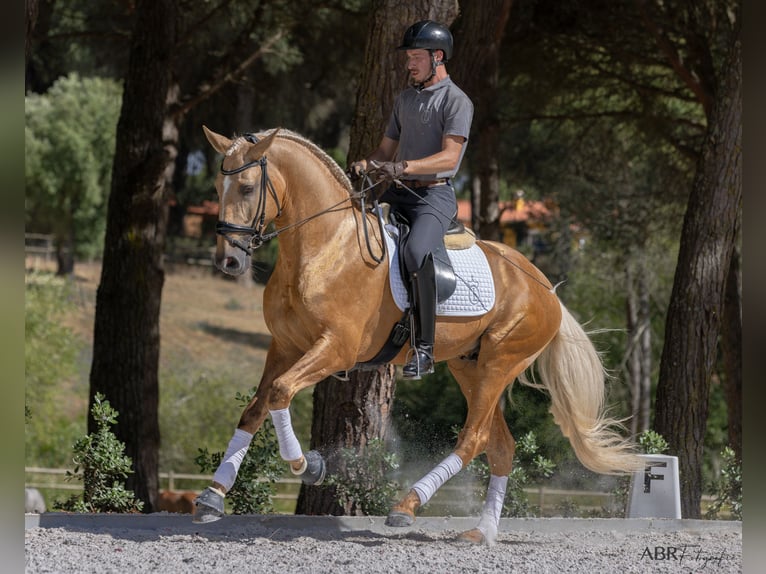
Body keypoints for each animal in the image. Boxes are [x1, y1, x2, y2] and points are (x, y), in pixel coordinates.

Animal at [194, 126, 640, 544]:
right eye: (217, 187)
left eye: (247, 187)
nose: (228, 261)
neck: (325, 248)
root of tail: (545, 287)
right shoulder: (285, 346)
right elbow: (256, 408)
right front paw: (213, 495)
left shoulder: (336, 349)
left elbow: (280, 392)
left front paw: (311, 466)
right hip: (470, 366)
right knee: (501, 446)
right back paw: (481, 533)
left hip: (501, 361)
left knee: (473, 438)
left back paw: (406, 506)